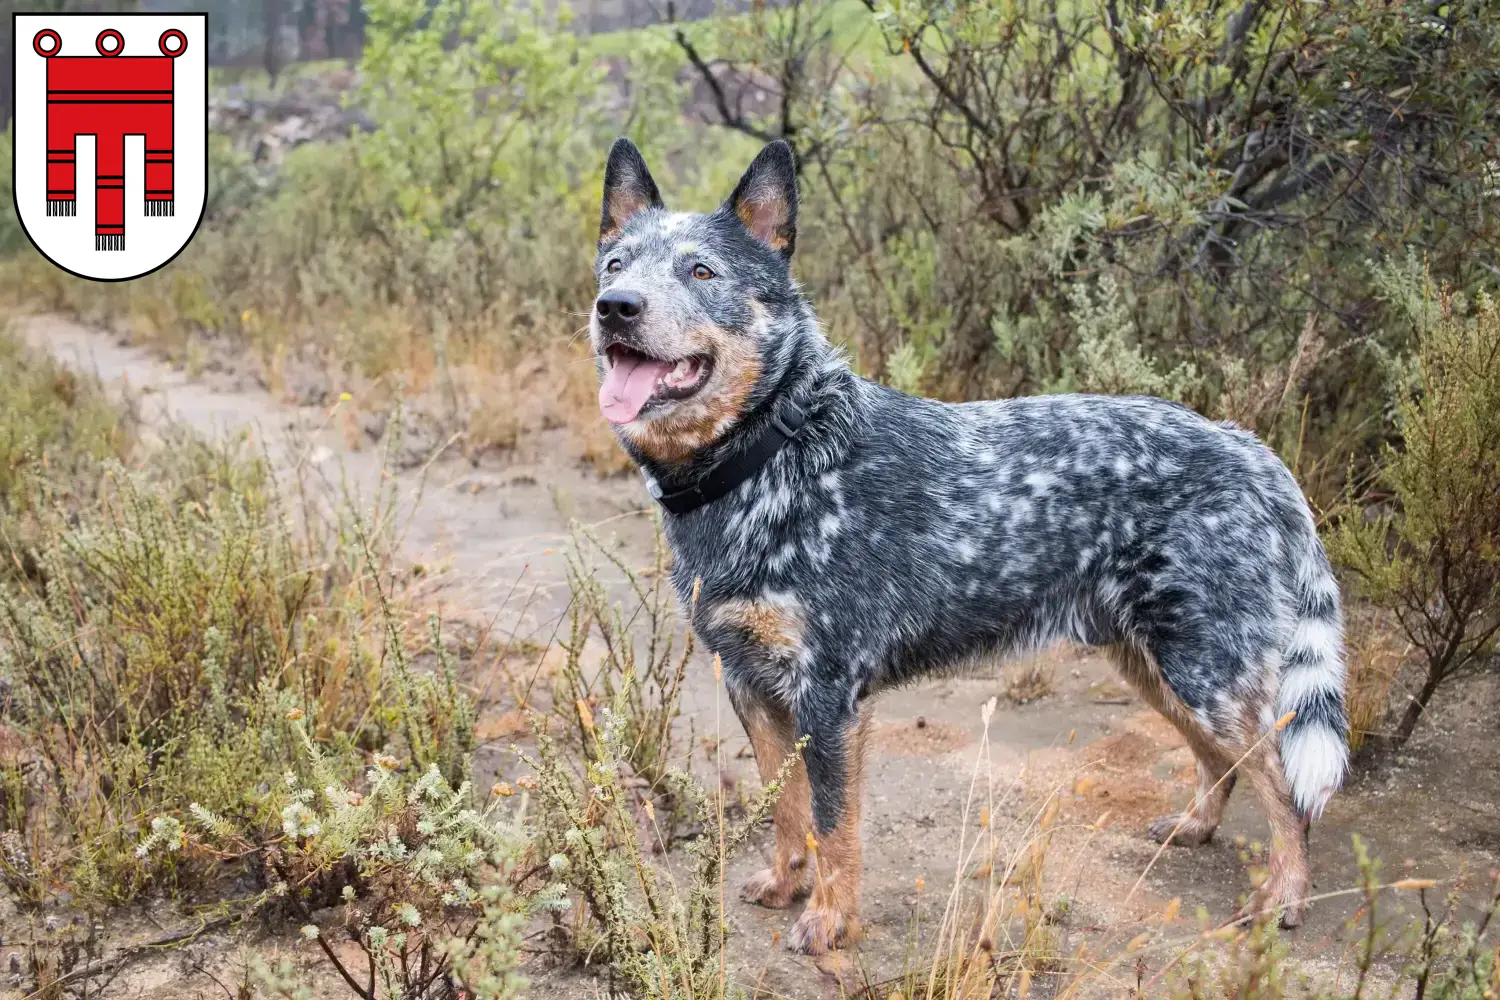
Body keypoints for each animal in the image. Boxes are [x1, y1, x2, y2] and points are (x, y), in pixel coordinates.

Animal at [582, 134, 1350, 953]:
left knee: (1285, 788)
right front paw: (788, 884)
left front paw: (829, 919)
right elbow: (785, 811)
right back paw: (1197, 827)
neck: (773, 452)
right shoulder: (749, 684)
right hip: (1154, 663)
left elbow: (833, 824)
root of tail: (1253, 449)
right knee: (1220, 762)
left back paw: (1284, 896)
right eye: (616, 265)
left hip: (1207, 670)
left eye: (701, 271)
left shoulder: (829, 694)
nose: (616, 309)